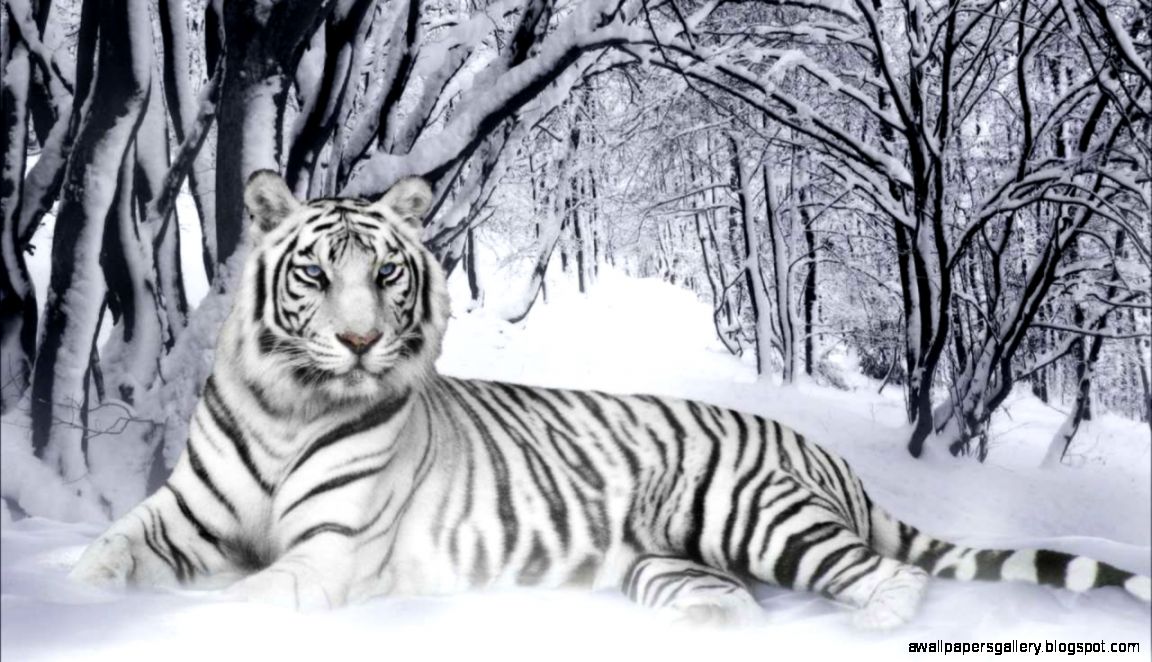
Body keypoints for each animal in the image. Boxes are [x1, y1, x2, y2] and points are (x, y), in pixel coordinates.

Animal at [69, 170, 1151, 628]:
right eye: (314, 274)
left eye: (385, 275)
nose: (362, 341)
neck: (289, 405)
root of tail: (824, 453)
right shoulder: (178, 518)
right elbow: (102, 559)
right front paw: (74, 603)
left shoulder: (328, 552)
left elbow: (242, 602)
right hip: (668, 565)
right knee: (731, 604)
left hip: (754, 513)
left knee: (887, 578)